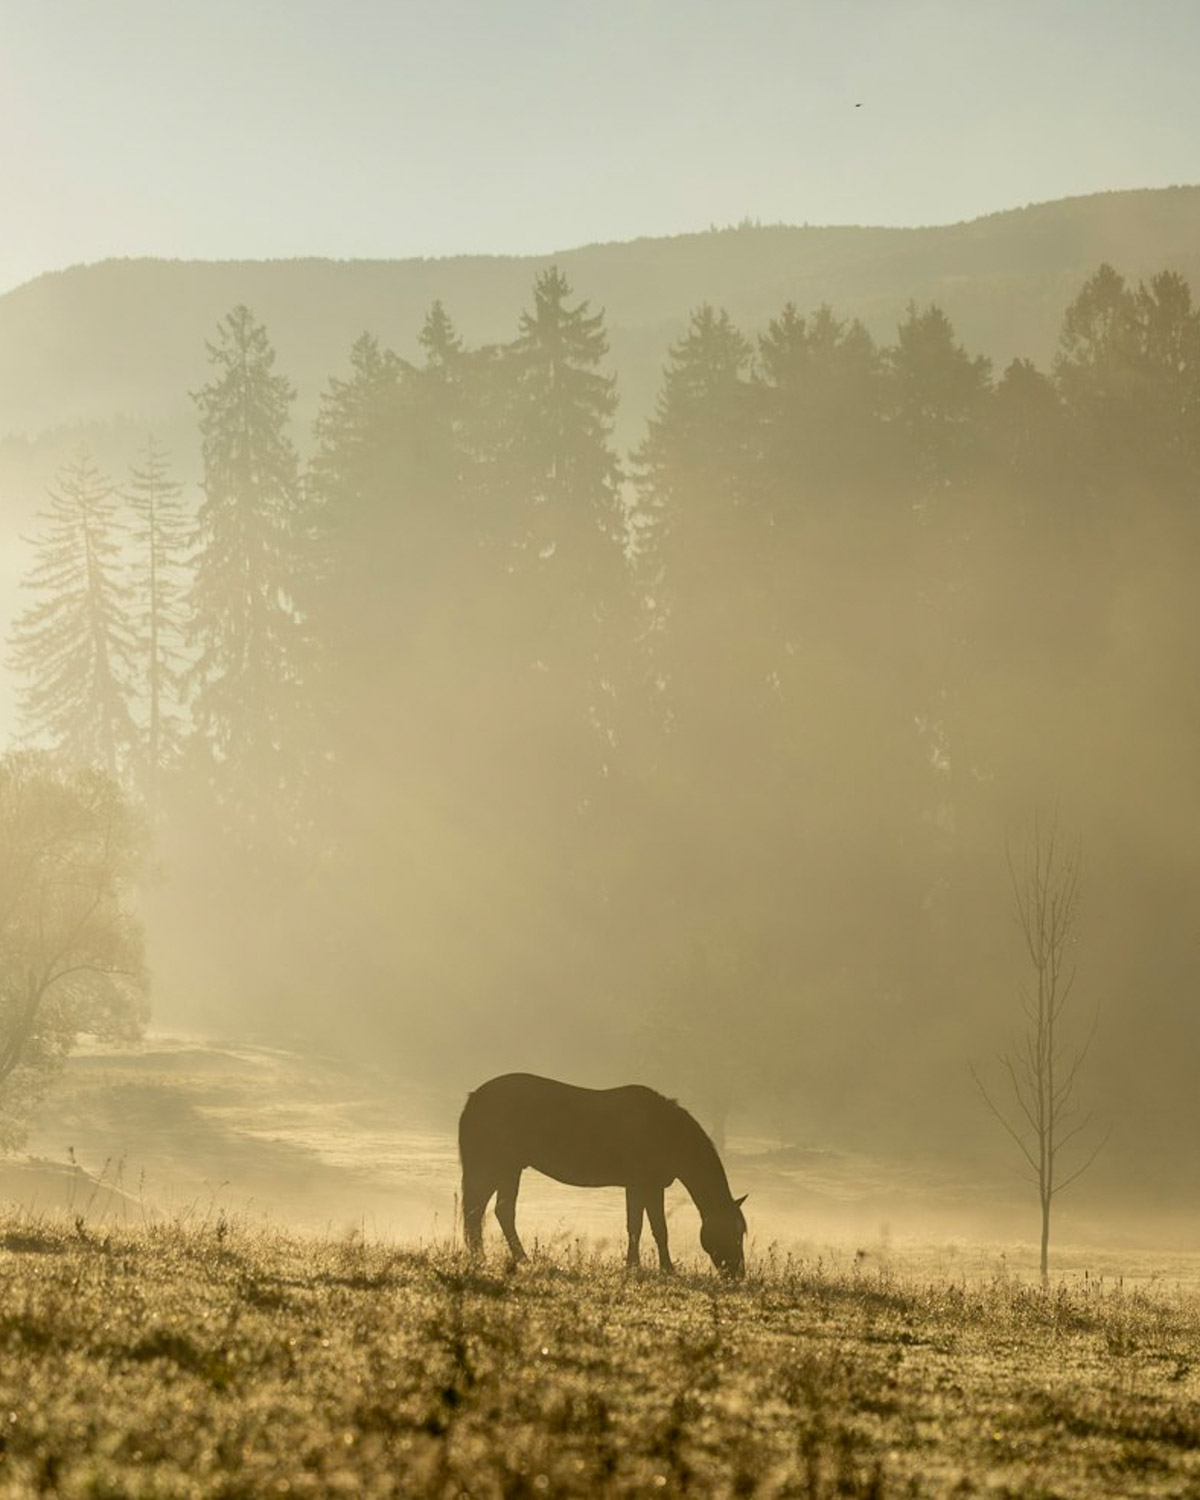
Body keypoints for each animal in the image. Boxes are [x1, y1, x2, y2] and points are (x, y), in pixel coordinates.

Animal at [458, 1072, 747, 1276]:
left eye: (741, 1233)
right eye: (732, 1233)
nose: (737, 1274)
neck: (665, 1130)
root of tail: (474, 1097)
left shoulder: (643, 1186)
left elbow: (643, 1226)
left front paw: (642, 1266)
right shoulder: (644, 1185)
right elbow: (650, 1227)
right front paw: (656, 1268)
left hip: (507, 1169)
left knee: (494, 1212)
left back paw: (498, 1258)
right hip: (497, 1167)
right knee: (486, 1212)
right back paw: (506, 1258)